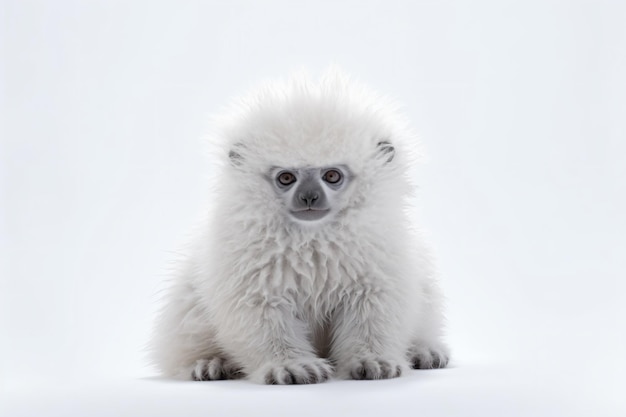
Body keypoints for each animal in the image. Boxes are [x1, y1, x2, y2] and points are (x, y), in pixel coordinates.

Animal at [149, 69, 446, 384]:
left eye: (332, 175)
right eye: (286, 178)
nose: (309, 196)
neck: (312, 240)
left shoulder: (375, 279)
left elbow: (372, 321)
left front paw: (372, 359)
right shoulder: (254, 286)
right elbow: (266, 327)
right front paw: (290, 366)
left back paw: (424, 351)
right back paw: (208, 363)